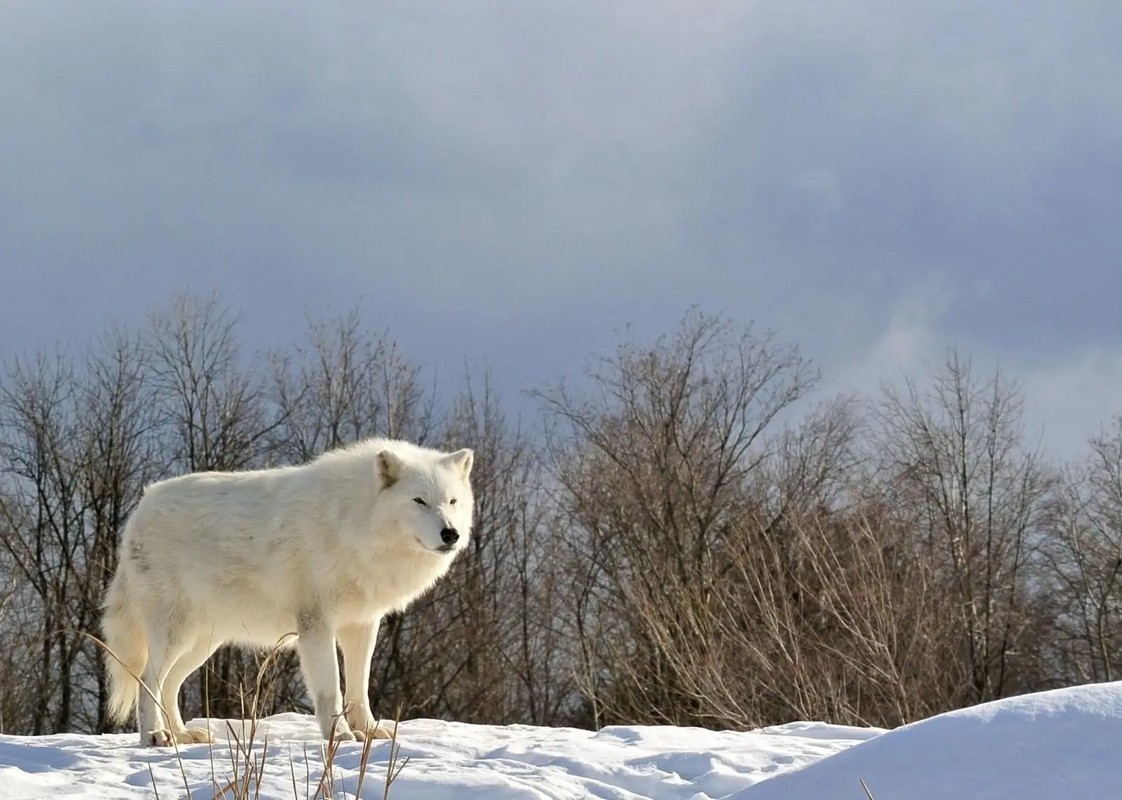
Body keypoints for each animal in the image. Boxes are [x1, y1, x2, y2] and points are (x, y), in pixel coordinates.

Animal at [100, 437, 473, 740]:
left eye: (452, 501)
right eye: (419, 501)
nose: (450, 534)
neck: (352, 523)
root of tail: (141, 507)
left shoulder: (362, 625)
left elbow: (359, 688)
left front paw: (367, 732)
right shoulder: (316, 626)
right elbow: (331, 690)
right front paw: (339, 737)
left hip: (201, 643)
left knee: (169, 684)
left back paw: (183, 735)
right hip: (175, 635)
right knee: (147, 680)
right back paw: (156, 737)